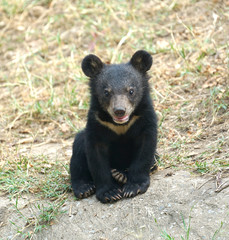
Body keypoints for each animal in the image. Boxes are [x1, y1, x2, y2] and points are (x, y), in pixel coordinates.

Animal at [70, 50, 157, 202]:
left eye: (131, 91)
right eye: (106, 92)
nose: (120, 111)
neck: (120, 124)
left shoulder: (145, 119)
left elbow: (145, 150)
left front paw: (134, 187)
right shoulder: (97, 123)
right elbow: (97, 157)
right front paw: (110, 193)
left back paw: (121, 175)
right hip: (80, 142)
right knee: (78, 154)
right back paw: (84, 188)